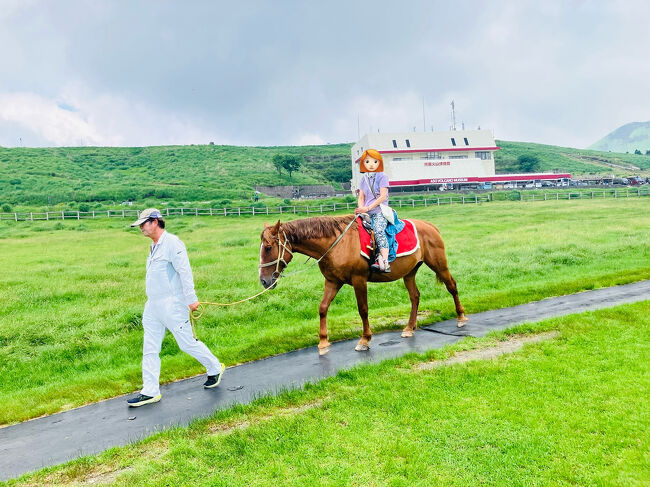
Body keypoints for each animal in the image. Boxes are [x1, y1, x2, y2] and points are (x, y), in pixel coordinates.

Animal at [259, 215, 467, 355]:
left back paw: (461, 317)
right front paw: (323, 342)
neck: (336, 244)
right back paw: (409, 328)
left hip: (439, 264)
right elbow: (323, 308)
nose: (264, 280)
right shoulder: (333, 281)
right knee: (415, 296)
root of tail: (430, 226)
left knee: (452, 286)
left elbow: (363, 309)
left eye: (268, 248)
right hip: (409, 272)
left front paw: (365, 339)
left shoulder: (359, 280)